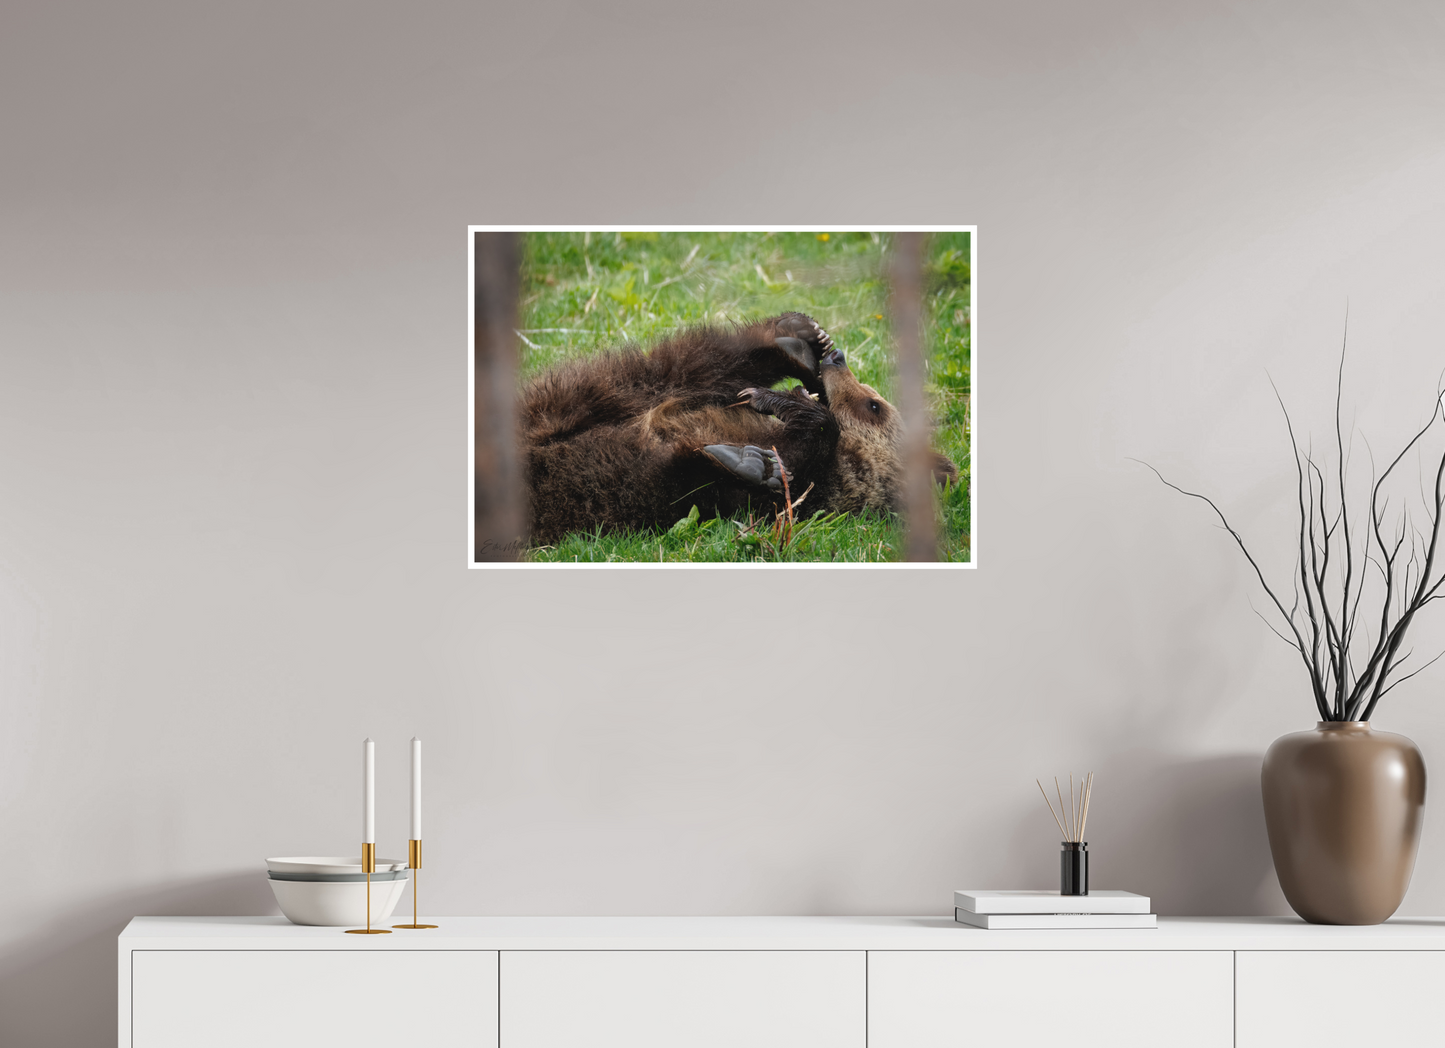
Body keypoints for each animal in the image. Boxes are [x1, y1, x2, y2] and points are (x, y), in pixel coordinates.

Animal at [519, 312, 959, 544]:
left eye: (874, 406)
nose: (837, 358)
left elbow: (701, 481)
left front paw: (754, 459)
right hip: (574, 400)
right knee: (673, 370)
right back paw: (794, 339)